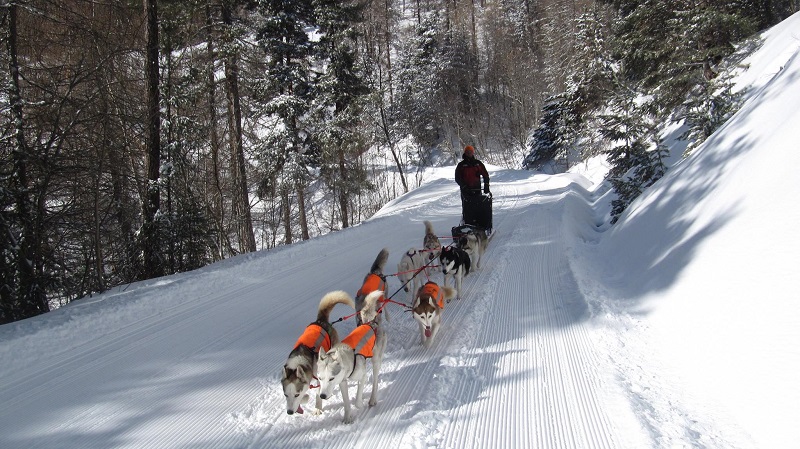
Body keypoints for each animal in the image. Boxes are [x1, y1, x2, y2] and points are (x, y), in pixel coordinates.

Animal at [316, 288, 388, 422]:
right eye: (320, 378)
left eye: (331, 378)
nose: (322, 395)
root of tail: (370, 323)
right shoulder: (342, 382)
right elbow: (346, 402)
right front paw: (347, 418)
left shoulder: (362, 376)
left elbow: (357, 399)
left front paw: (359, 405)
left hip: (376, 361)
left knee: (375, 381)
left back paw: (372, 399)